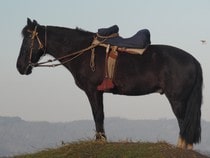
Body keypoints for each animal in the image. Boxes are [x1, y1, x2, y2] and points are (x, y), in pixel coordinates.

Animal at [17, 18, 203, 149]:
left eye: (28, 38)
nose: (20, 66)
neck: (83, 51)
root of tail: (193, 60)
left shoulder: (93, 91)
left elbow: (98, 115)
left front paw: (100, 141)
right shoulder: (98, 92)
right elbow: (99, 115)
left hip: (177, 100)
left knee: (183, 122)